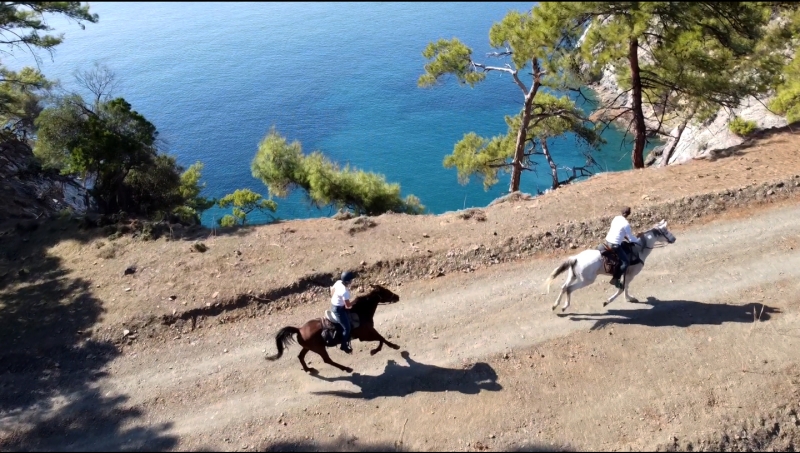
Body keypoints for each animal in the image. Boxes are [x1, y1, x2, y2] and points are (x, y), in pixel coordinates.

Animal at [268, 282, 404, 374]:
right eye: (386, 292)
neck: (360, 312)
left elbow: (381, 338)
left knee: (301, 356)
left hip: (309, 347)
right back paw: (346, 368)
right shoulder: (365, 335)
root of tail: (299, 329)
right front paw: (385, 348)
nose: (397, 297)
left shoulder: (367, 334)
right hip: (320, 348)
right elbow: (381, 338)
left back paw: (308, 369)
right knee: (327, 360)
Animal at [544, 219, 676, 310]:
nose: (674, 239)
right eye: (665, 231)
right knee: (569, 289)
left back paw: (555, 305)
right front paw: (609, 301)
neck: (639, 250)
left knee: (563, 287)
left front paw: (628, 298)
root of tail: (575, 258)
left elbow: (624, 287)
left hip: (572, 276)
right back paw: (565, 306)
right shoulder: (630, 274)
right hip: (586, 280)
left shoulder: (626, 274)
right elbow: (622, 288)